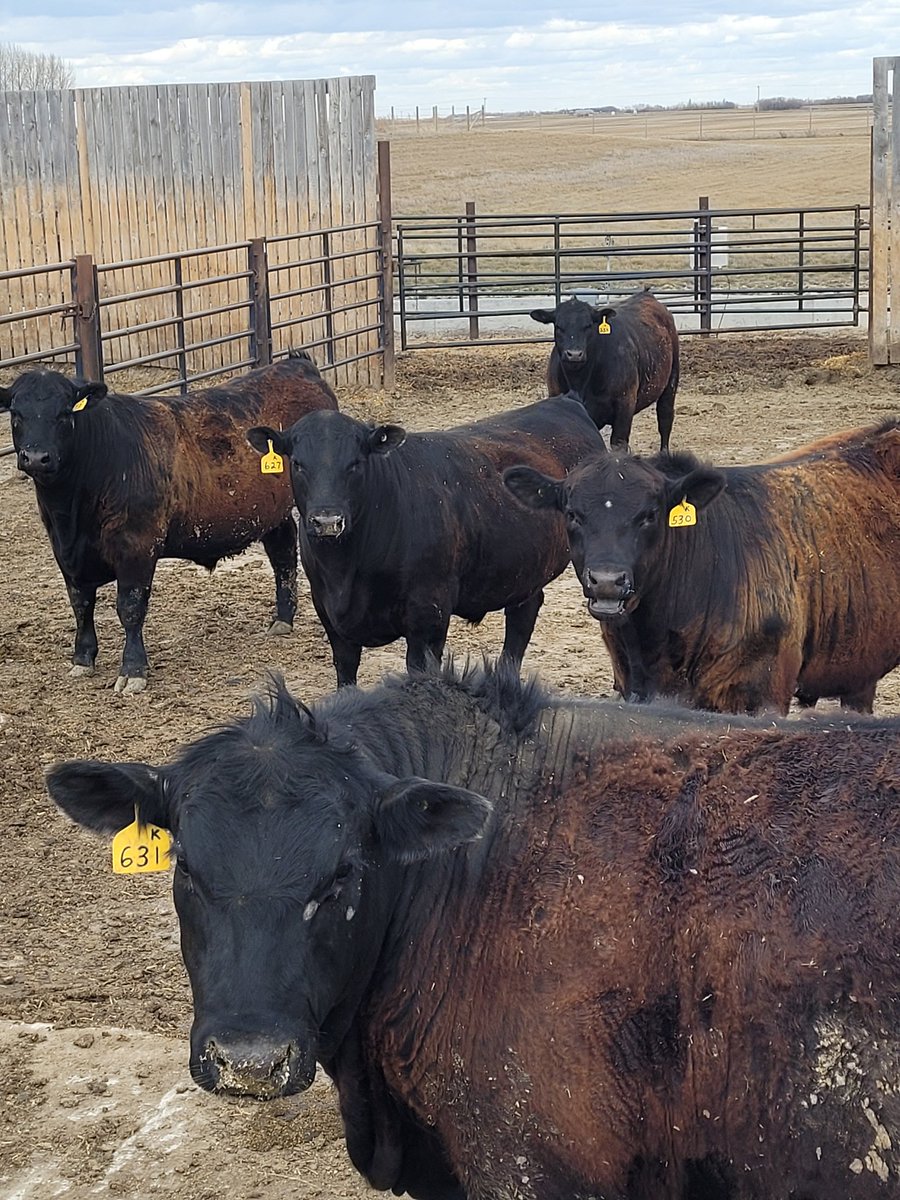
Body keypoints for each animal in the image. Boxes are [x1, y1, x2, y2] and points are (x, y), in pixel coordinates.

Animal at [0, 352, 337, 693]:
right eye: (16, 413)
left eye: (65, 413)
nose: (36, 457)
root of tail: (295, 364)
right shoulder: (66, 553)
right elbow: (81, 604)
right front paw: (82, 659)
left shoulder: (137, 546)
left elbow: (130, 607)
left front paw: (133, 670)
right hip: (271, 510)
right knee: (282, 553)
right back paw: (282, 618)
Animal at [245, 396, 604, 687]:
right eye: (297, 463)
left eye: (356, 463)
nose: (327, 521)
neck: (345, 570)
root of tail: (565, 401)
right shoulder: (329, 614)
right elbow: (346, 674)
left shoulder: (428, 615)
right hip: (522, 570)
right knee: (521, 618)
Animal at [530, 290, 679, 451]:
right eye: (558, 326)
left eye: (588, 325)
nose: (574, 354)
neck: (580, 381)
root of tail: (646, 294)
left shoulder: (625, 405)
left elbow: (618, 442)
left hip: (671, 380)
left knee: (665, 417)